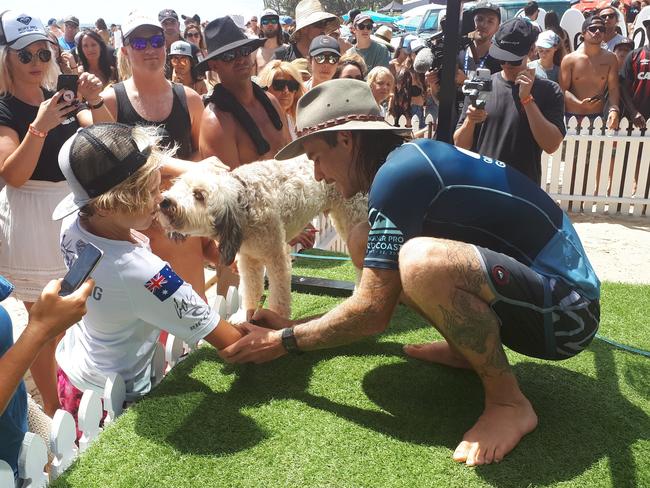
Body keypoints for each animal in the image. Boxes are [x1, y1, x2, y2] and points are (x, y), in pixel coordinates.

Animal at [158, 154, 364, 318]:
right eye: (180, 185)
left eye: (199, 195)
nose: (165, 201)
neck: (246, 206)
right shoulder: (249, 259)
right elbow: (250, 289)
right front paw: (244, 316)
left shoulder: (277, 257)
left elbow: (279, 294)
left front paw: (275, 320)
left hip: (352, 219)